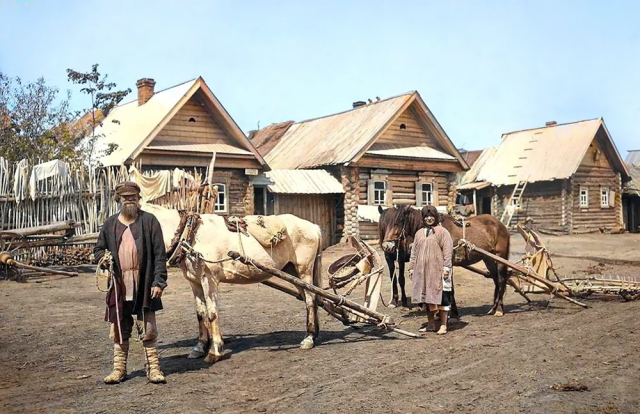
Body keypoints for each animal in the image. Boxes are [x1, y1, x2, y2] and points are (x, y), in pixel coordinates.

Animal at [139, 203, 320, 362]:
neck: (190, 236)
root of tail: (314, 227)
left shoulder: (208, 279)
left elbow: (212, 313)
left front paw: (214, 351)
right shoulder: (194, 282)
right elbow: (200, 314)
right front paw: (199, 347)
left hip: (304, 270)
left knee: (310, 299)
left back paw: (309, 338)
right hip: (292, 272)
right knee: (309, 298)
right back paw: (313, 333)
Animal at [378, 206, 512, 316]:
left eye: (397, 223)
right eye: (384, 225)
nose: (386, 246)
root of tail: (500, 224)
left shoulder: (448, 264)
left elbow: (450, 288)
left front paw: (452, 313)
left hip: (500, 257)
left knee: (501, 280)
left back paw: (499, 309)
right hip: (488, 258)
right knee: (495, 278)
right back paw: (493, 307)